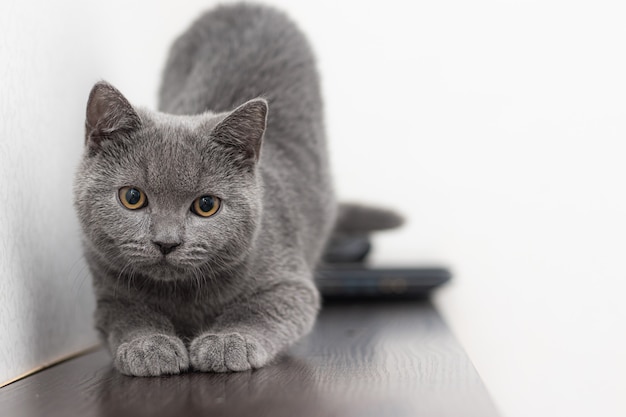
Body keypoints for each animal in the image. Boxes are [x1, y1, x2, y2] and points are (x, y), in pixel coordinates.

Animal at [73, 3, 394, 376]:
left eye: (206, 205)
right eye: (133, 197)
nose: (167, 242)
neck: (183, 297)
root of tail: (244, 6)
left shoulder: (291, 285)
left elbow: (259, 311)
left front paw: (227, 342)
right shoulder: (108, 293)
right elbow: (129, 316)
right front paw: (148, 346)